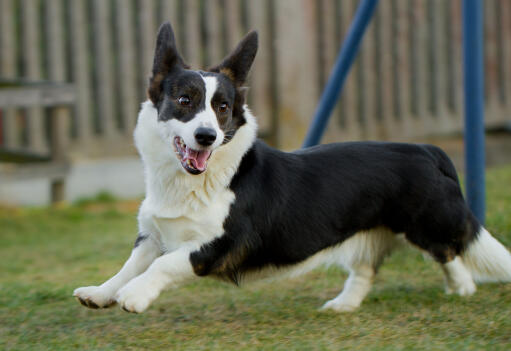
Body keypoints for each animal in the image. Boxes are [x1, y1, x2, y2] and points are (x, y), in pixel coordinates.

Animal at [74, 21, 511, 314]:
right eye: (184, 100)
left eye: (223, 108)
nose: (207, 136)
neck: (188, 183)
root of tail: (426, 149)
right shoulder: (152, 234)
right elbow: (130, 265)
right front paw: (100, 293)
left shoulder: (217, 245)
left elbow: (164, 264)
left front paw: (134, 297)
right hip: (371, 230)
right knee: (367, 267)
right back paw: (343, 305)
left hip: (426, 224)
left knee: (450, 251)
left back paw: (462, 289)